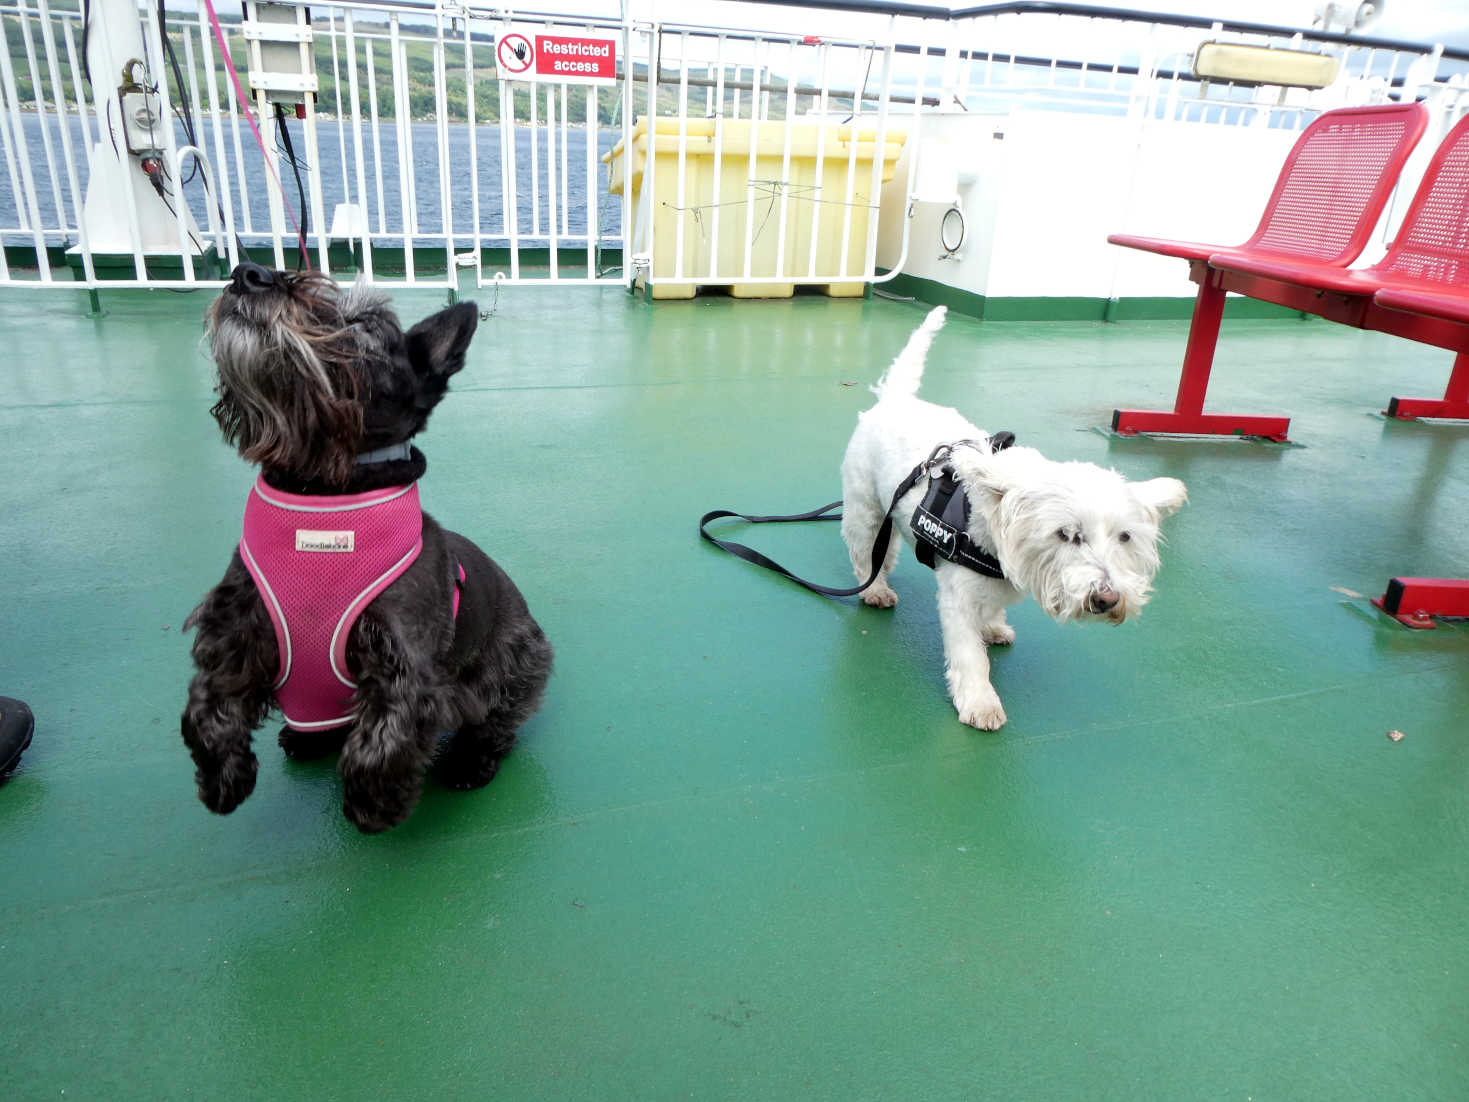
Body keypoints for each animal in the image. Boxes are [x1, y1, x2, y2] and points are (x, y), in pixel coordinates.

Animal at [183, 267, 552, 834]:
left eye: (361, 324)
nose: (249, 274)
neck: (322, 490)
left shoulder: (404, 662)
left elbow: (382, 738)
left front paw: (372, 804)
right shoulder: (235, 629)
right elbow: (208, 705)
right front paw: (223, 779)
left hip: (512, 668)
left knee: (494, 724)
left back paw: (469, 762)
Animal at [846, 307, 1186, 728]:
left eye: (1124, 537)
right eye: (1065, 534)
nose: (1107, 598)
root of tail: (896, 399)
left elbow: (992, 606)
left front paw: (993, 625)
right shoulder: (958, 597)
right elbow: (969, 655)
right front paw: (980, 702)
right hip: (865, 509)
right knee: (865, 553)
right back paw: (874, 588)